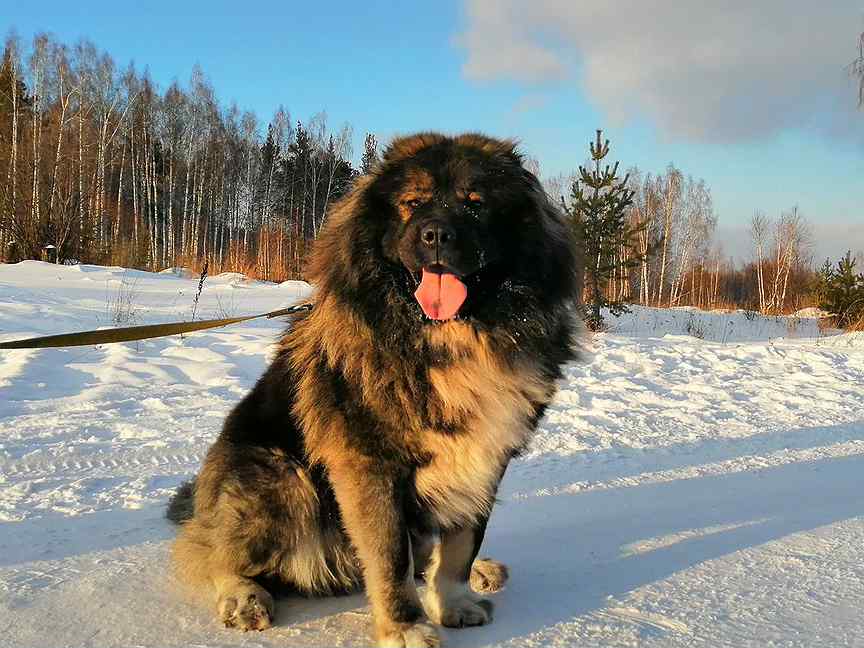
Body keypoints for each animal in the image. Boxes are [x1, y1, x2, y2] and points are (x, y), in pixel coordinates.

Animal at [169, 133, 580, 648]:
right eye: (413, 204)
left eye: (475, 204)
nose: (436, 235)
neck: (450, 341)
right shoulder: (370, 464)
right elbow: (391, 558)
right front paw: (404, 626)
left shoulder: (486, 456)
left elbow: (463, 543)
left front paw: (455, 599)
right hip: (280, 477)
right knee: (210, 551)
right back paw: (244, 597)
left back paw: (483, 572)